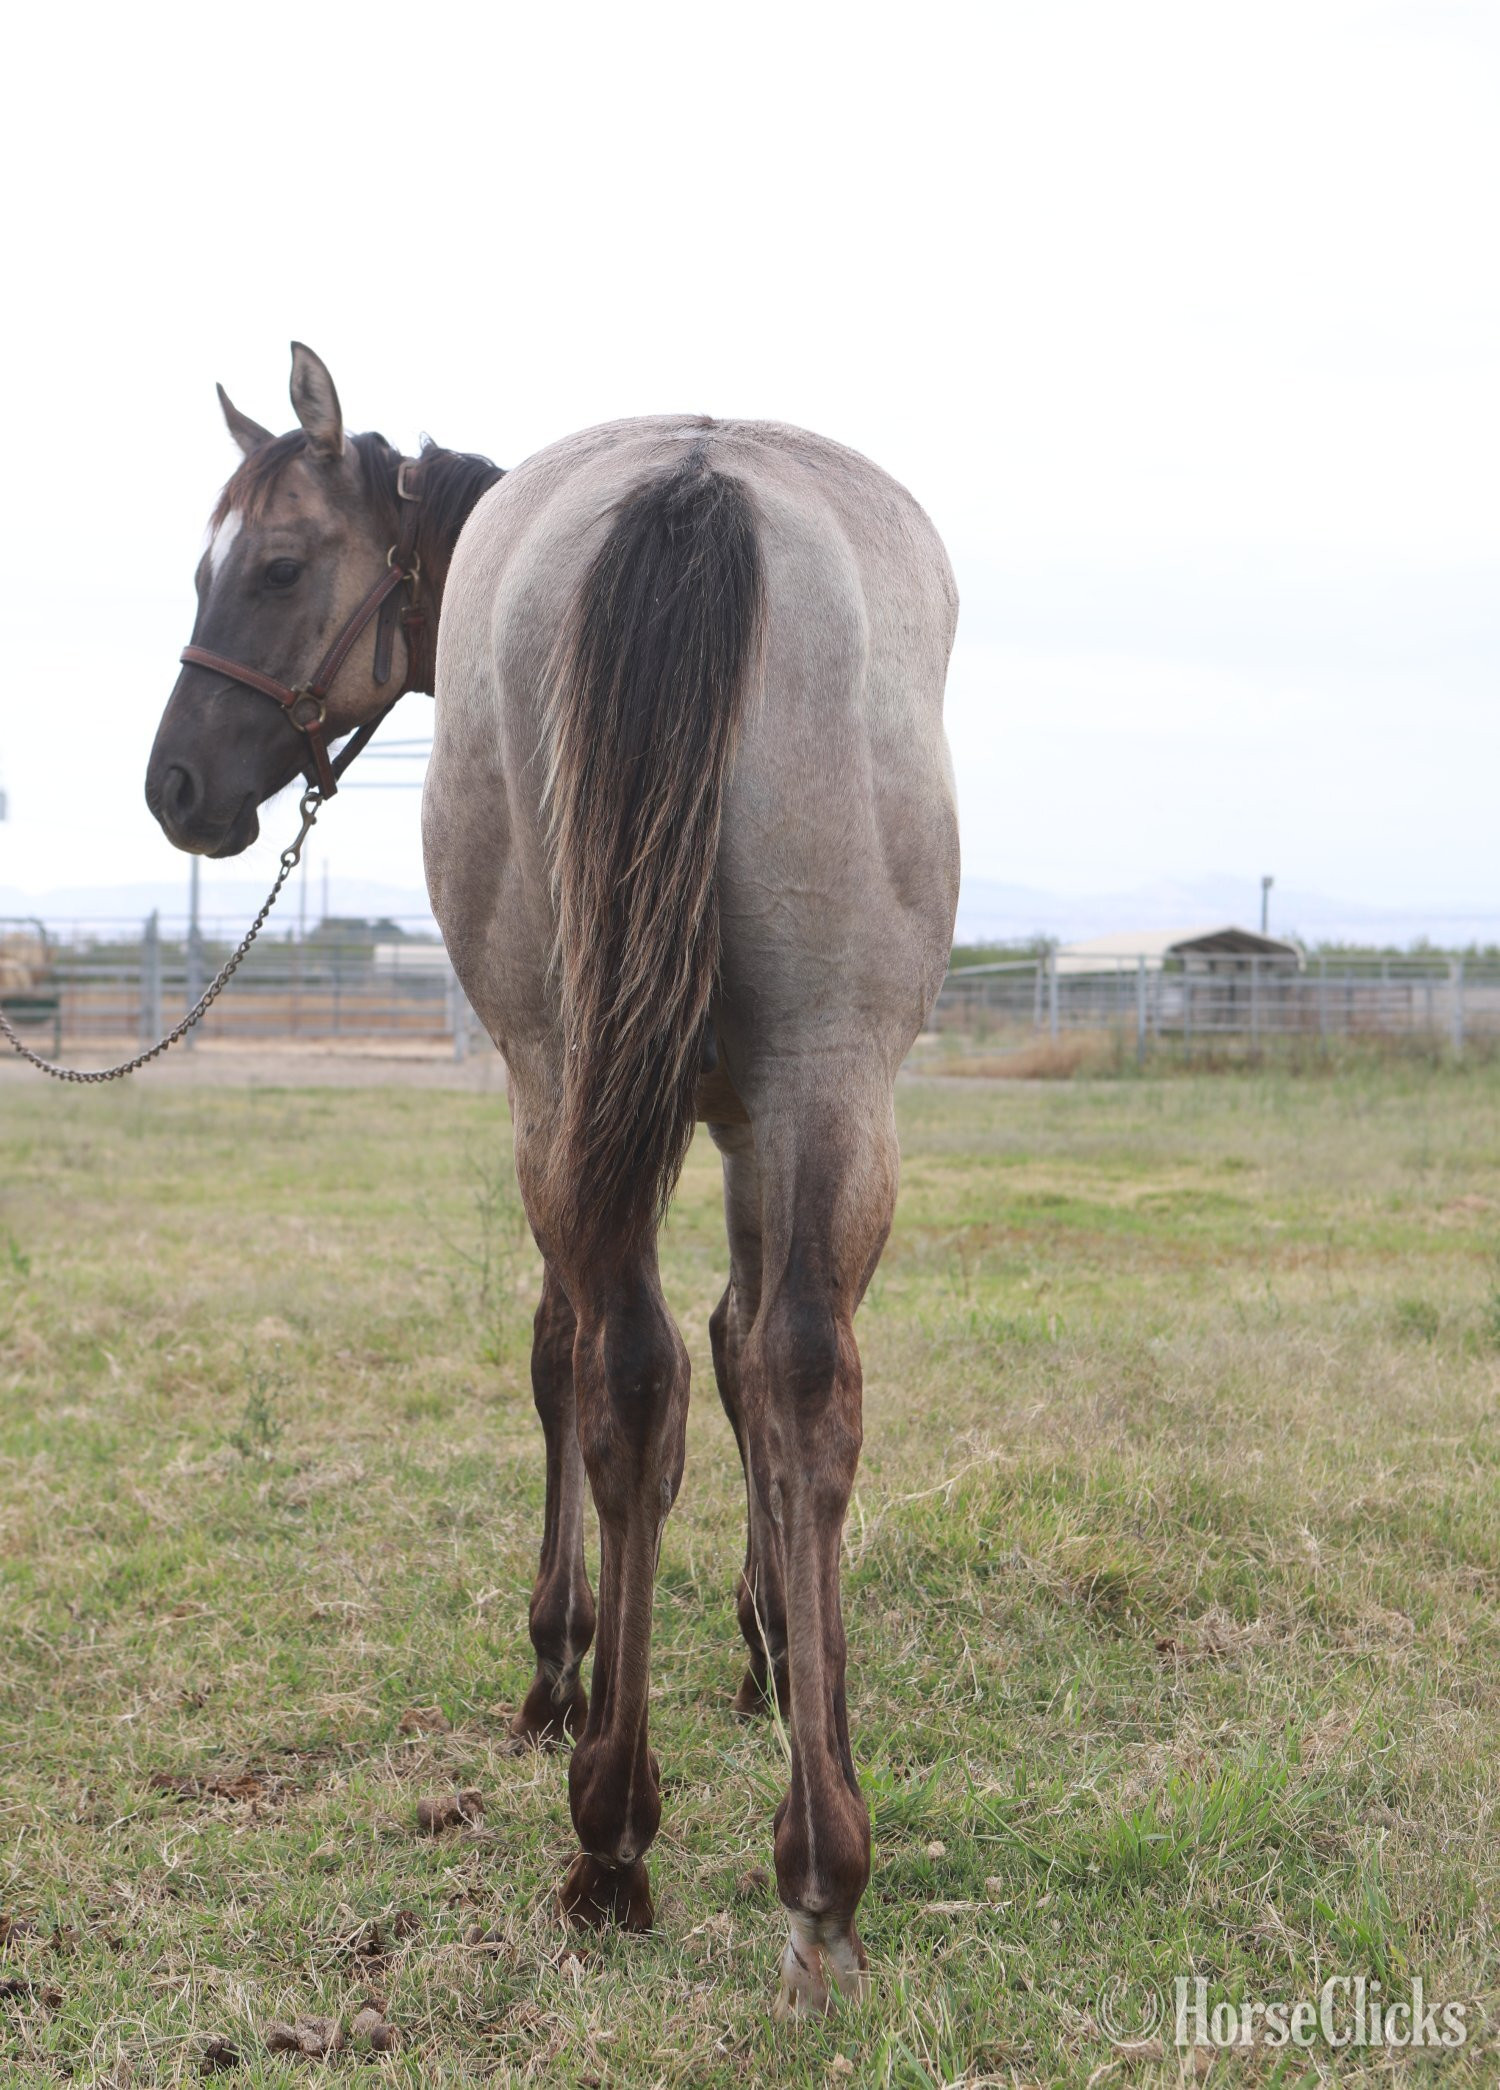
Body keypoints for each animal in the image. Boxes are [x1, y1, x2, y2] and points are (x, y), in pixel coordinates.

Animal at [145, 344, 960, 2015]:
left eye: (273, 567)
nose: (175, 782)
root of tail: (698, 483)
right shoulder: (748, 1116)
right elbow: (745, 1356)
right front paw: (784, 1656)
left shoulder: (572, 1097)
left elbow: (565, 1355)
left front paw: (563, 1661)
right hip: (831, 1066)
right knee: (798, 1374)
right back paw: (820, 1865)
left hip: (563, 1065)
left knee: (617, 1367)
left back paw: (611, 1830)